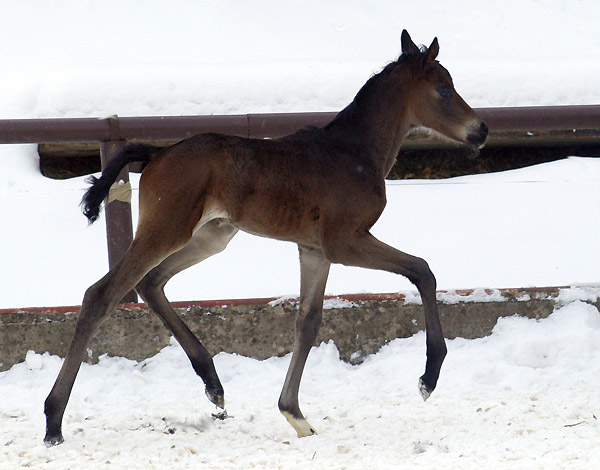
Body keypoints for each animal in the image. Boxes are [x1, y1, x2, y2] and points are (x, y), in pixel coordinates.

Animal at [45, 30, 488, 444]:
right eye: (444, 88)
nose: (481, 130)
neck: (355, 152)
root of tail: (158, 153)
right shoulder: (345, 241)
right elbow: (422, 270)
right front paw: (429, 377)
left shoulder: (314, 250)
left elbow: (308, 322)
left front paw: (295, 415)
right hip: (166, 229)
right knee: (102, 294)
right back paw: (53, 421)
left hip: (211, 236)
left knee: (152, 282)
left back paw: (213, 384)